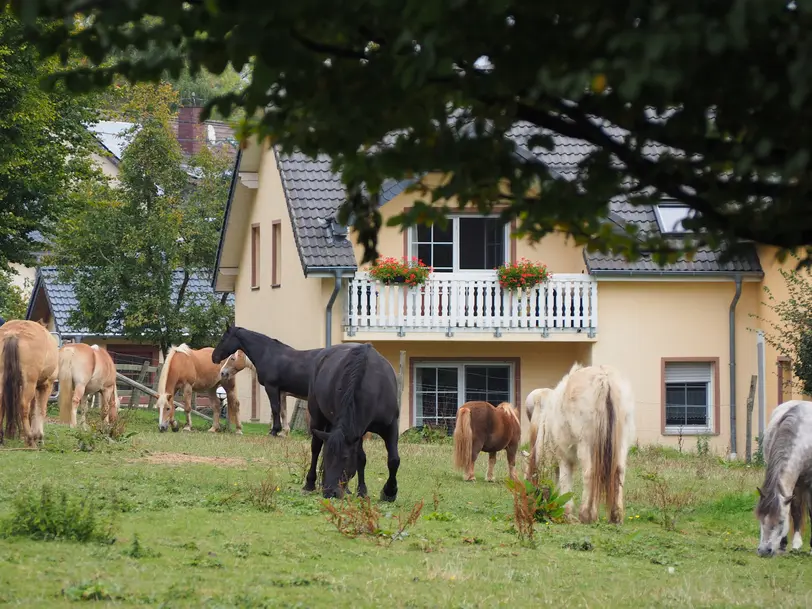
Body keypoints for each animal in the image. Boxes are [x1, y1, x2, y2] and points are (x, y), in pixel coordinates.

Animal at [0, 318, 59, 446]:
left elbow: (34, 409)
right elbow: (41, 410)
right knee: (24, 406)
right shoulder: (46, 385)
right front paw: (39, 436)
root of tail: (13, 333)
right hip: (29, 384)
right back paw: (30, 439)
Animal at [306, 340, 402, 502]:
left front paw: (389, 492)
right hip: (317, 418)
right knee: (315, 447)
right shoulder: (357, 430)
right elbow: (360, 459)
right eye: (327, 458)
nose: (330, 492)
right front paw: (363, 491)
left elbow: (393, 460)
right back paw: (309, 484)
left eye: (345, 458)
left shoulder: (390, 426)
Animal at [524, 360, 636, 524]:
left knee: (590, 473)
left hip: (586, 445)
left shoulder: (562, 455)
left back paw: (586, 514)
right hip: (621, 443)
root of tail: (604, 378)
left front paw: (566, 512)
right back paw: (615, 516)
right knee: (619, 472)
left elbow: (564, 480)